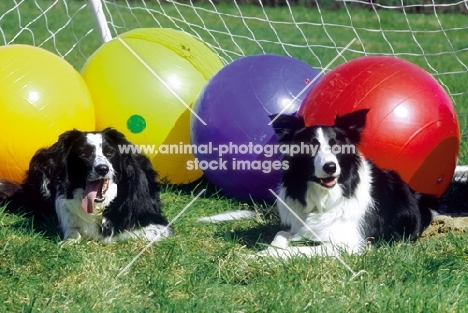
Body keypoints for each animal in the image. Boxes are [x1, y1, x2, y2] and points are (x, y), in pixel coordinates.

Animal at [260, 108, 436, 258]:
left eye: (336, 145)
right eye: (309, 146)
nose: (330, 167)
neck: (324, 197)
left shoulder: (345, 244)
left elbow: (296, 250)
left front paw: (264, 257)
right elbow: (280, 234)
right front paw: (263, 252)